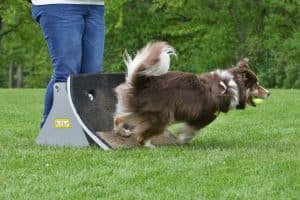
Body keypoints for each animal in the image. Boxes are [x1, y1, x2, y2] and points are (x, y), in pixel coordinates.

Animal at [113, 41, 270, 147]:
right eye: (256, 85)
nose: (269, 93)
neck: (229, 85)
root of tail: (140, 84)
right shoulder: (205, 117)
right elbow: (190, 131)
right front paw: (183, 140)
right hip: (161, 117)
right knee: (141, 137)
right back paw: (150, 146)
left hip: (137, 111)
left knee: (118, 117)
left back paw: (123, 132)